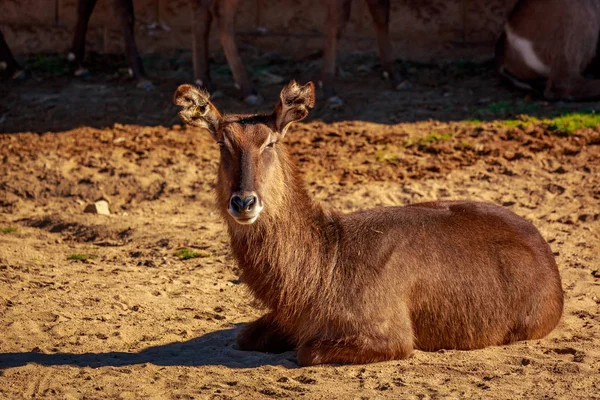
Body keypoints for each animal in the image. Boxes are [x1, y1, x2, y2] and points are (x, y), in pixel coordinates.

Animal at [172, 80, 564, 366]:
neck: (322, 266)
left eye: (269, 142)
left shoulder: (391, 336)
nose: (244, 202)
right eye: (223, 143)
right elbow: (244, 336)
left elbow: (306, 351)